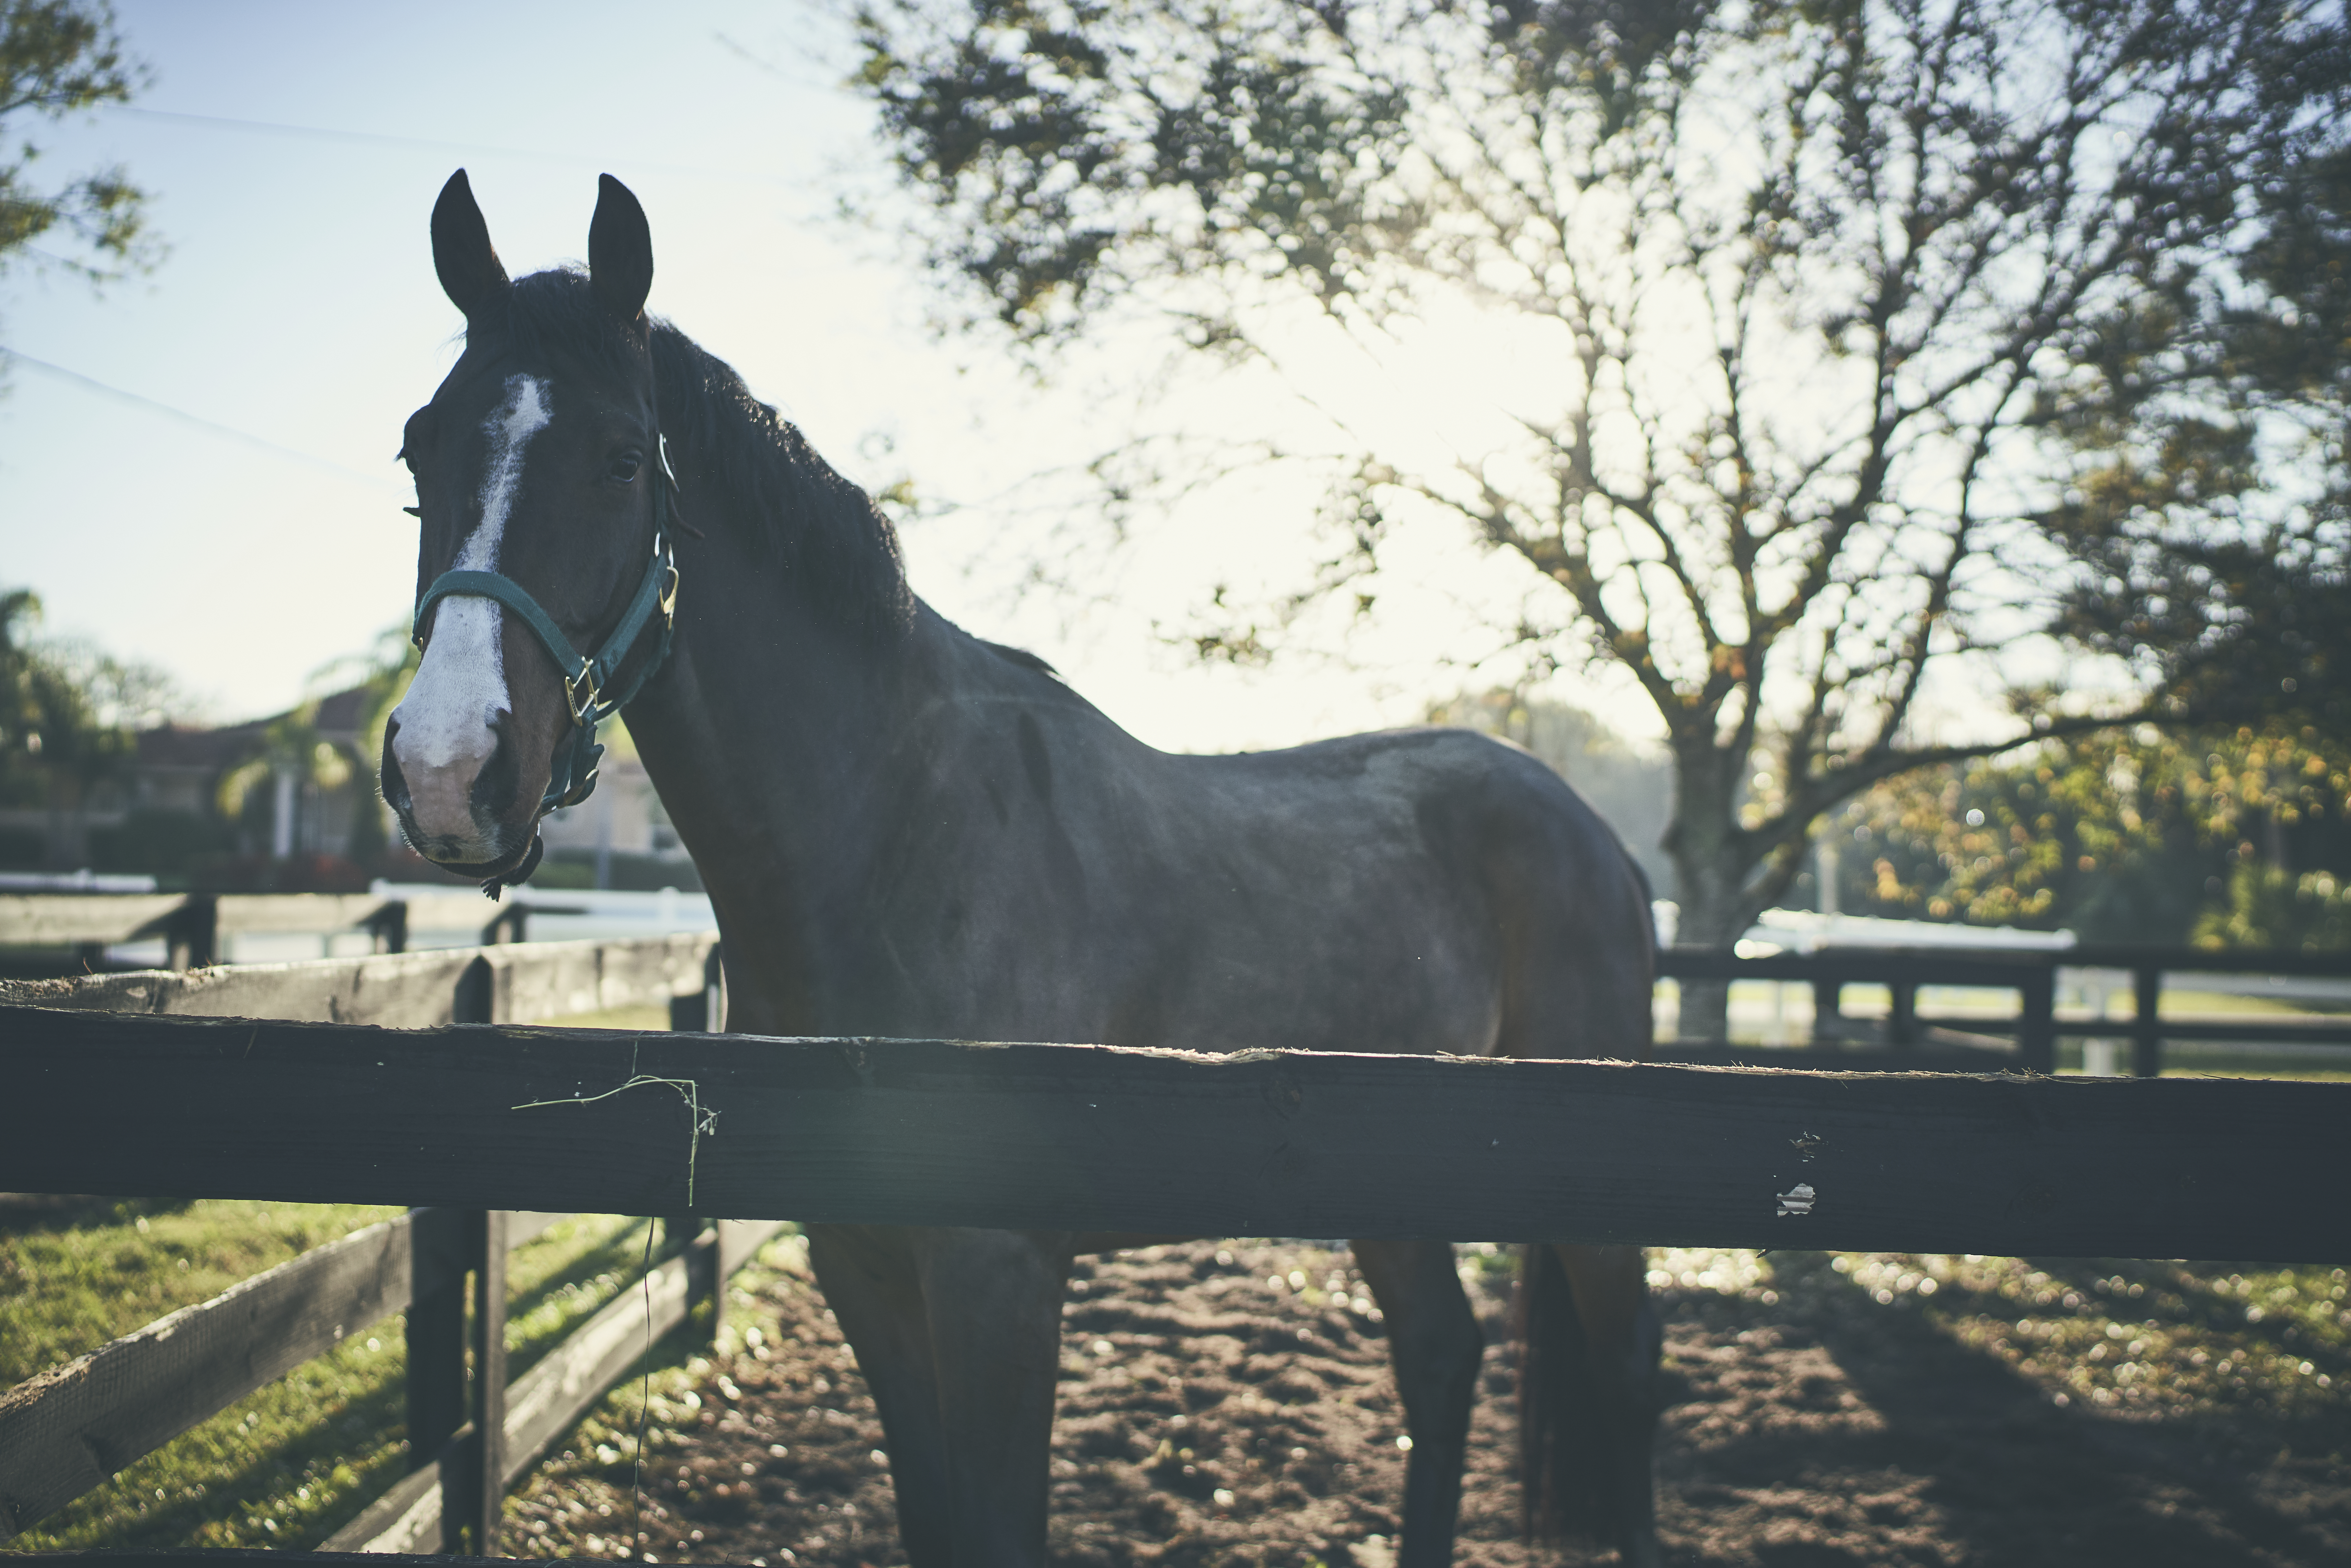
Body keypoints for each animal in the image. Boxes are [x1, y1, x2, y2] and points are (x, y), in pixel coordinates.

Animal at [381, 169, 1664, 1568]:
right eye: (418, 451)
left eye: (622, 457)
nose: (447, 769)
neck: (895, 833)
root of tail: (1592, 836)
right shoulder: (862, 1264)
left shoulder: (996, 1279)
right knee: (1440, 1359)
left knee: (1620, 1375)